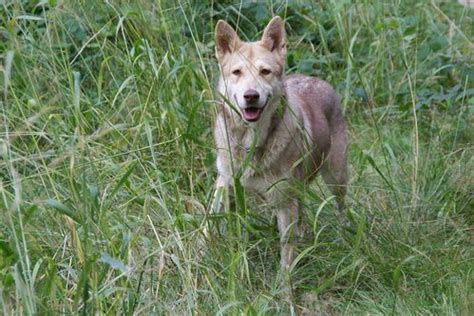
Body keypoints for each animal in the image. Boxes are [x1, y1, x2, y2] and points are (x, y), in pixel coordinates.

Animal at [213, 16, 346, 274]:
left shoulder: (285, 203)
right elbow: (219, 229)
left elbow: (286, 257)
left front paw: (284, 286)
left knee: (340, 209)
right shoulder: (225, 185)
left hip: (336, 179)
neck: (251, 145)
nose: (251, 96)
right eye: (236, 72)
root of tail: (316, 79)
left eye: (265, 71)